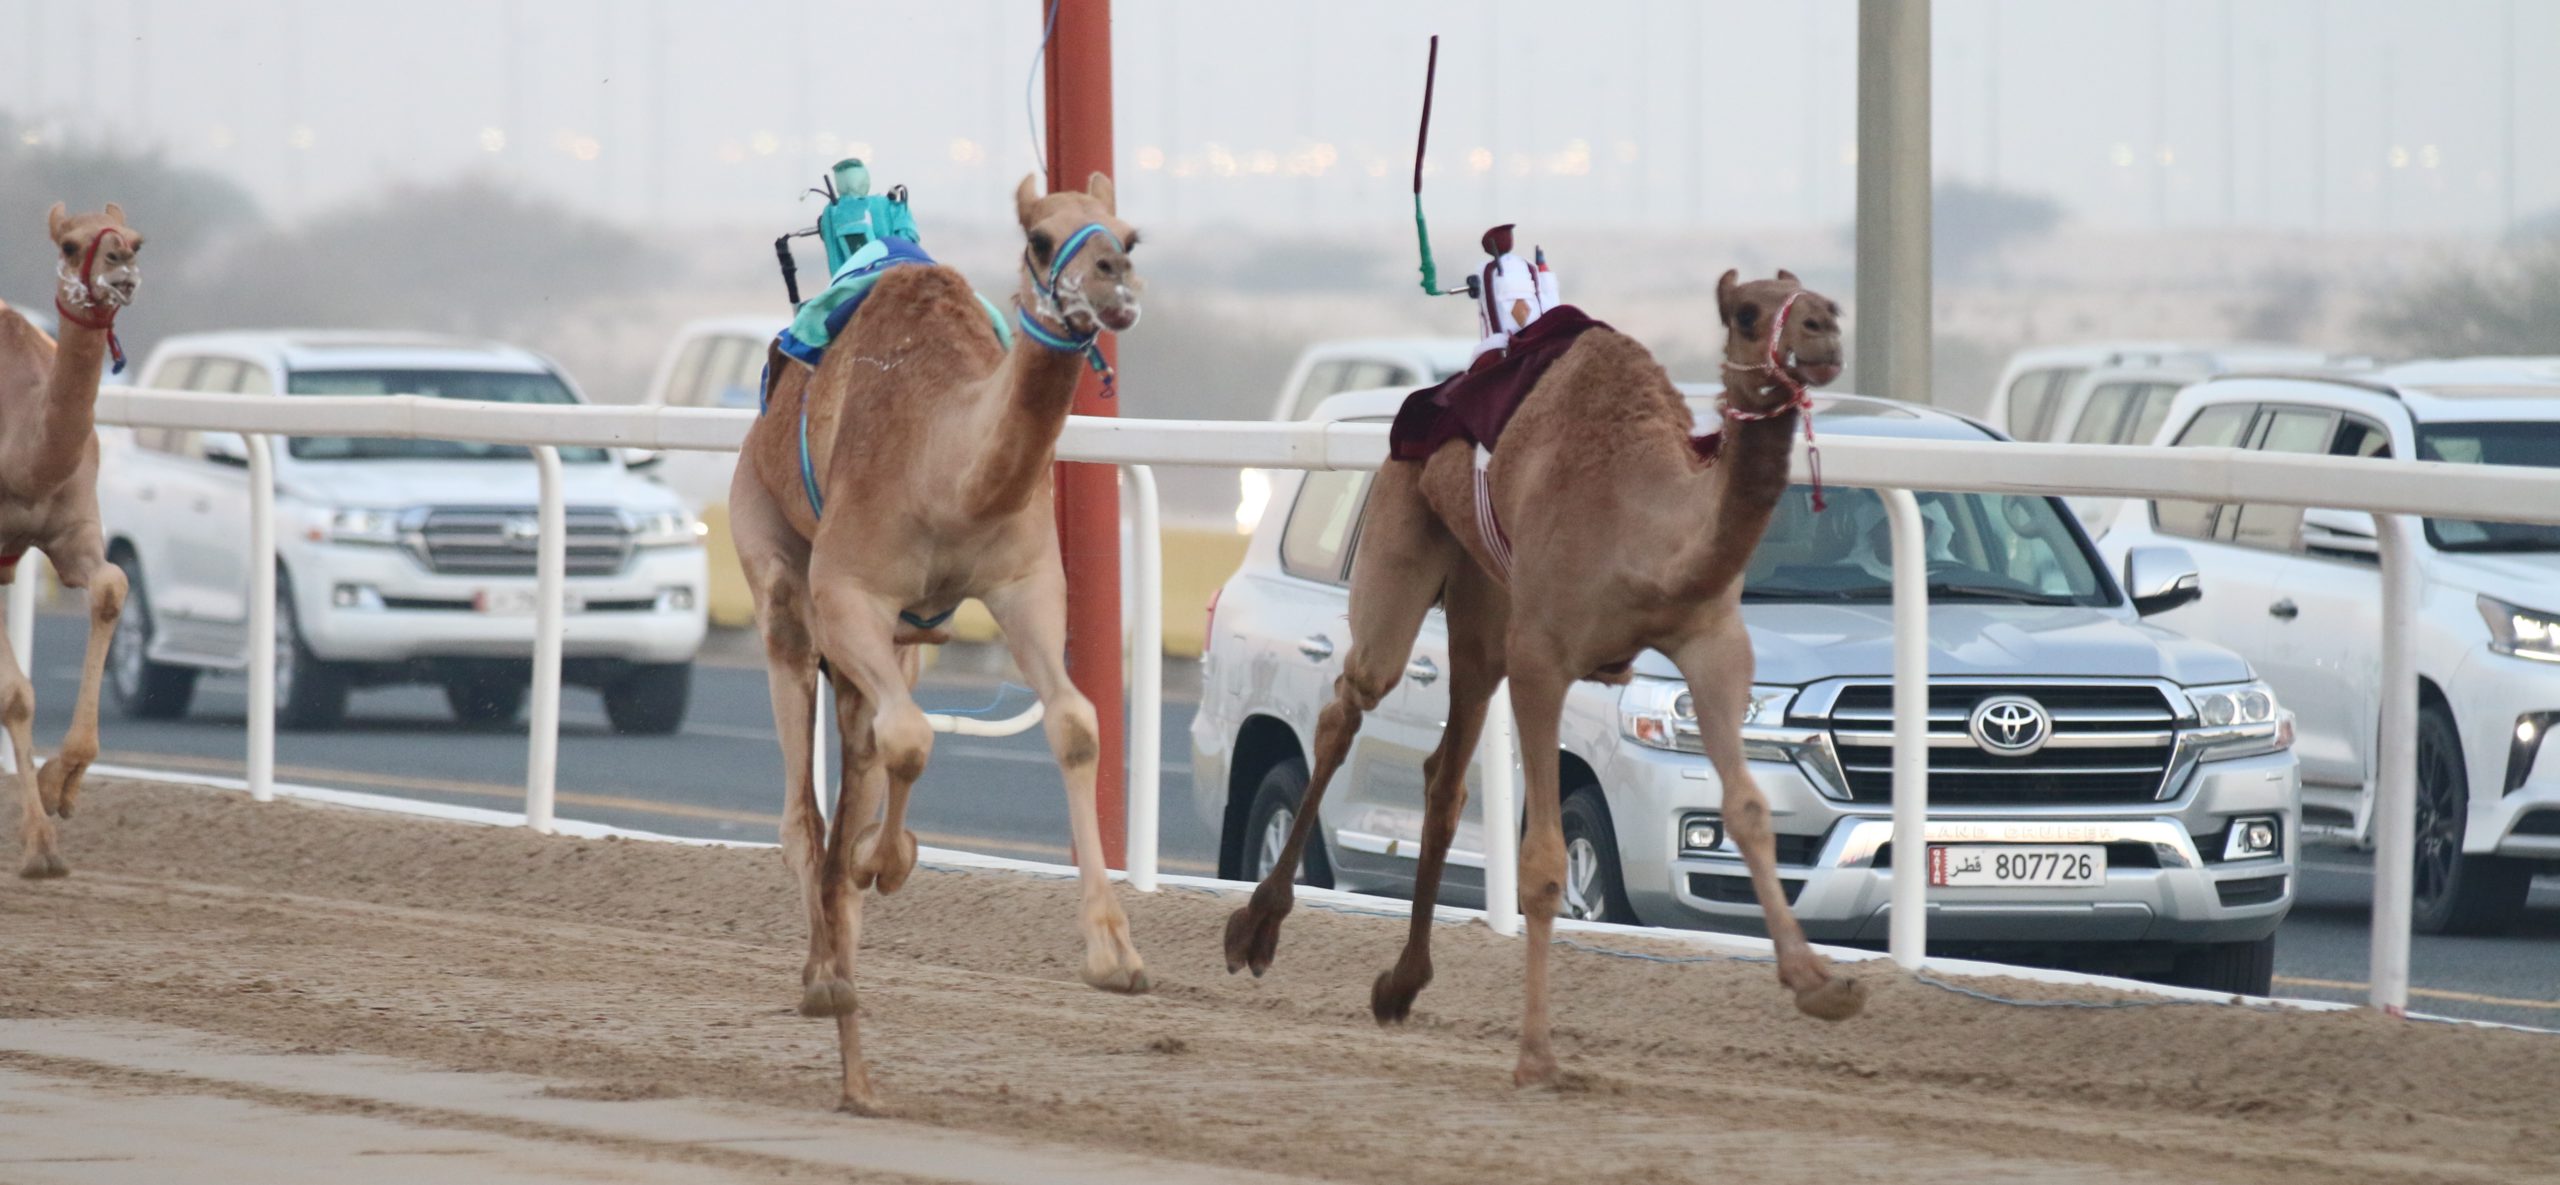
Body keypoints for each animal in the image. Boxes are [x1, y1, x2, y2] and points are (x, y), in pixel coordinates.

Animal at [732, 171, 1152, 1115]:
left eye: (1130, 235)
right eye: (1040, 238)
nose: (1113, 283)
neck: (944, 464)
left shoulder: (1025, 585)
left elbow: (1075, 722)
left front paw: (1116, 955)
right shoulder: (847, 590)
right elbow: (911, 740)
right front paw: (884, 863)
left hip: (902, 642)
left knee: (857, 765)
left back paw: (859, 1078)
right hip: (773, 565)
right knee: (803, 805)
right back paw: (825, 977)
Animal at [1228, 273, 1873, 1090]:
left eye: (1825, 302)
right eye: (1748, 314)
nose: (1822, 331)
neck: (1646, 537)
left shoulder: (1712, 646)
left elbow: (1749, 808)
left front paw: (1822, 984)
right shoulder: (1544, 658)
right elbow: (1541, 862)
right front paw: (1537, 1056)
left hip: (1484, 597)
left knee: (1445, 773)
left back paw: (1401, 983)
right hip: (1402, 524)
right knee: (1348, 704)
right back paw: (1253, 930)